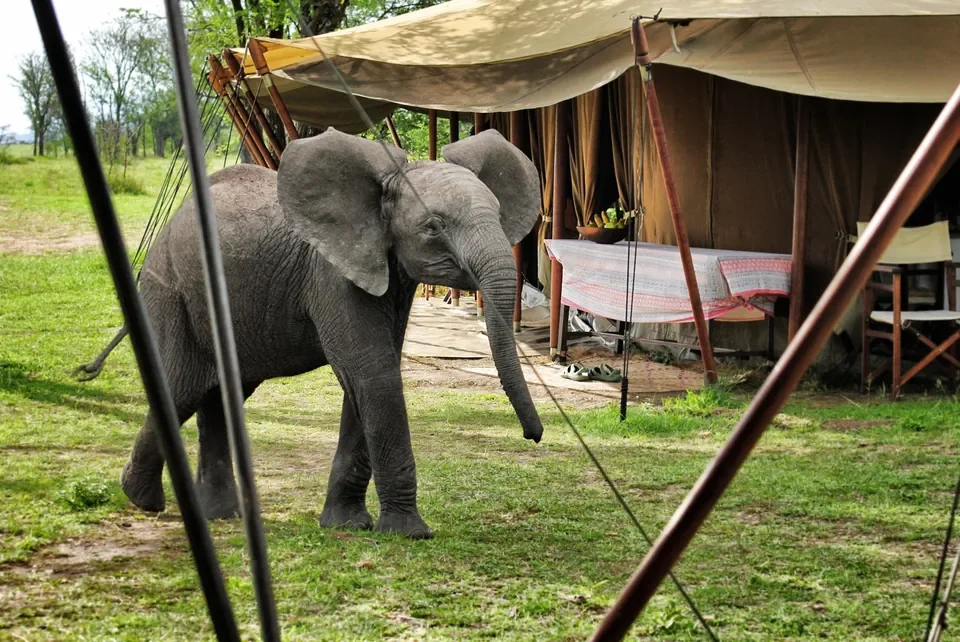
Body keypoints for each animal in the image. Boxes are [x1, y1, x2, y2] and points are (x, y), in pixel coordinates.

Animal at [118, 127, 545, 539]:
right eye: (434, 227)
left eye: (499, 215)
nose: (534, 436)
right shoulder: (330, 274)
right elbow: (371, 372)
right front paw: (410, 532)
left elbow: (368, 377)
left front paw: (347, 525)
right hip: (169, 287)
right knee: (182, 388)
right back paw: (143, 500)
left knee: (222, 395)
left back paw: (219, 515)